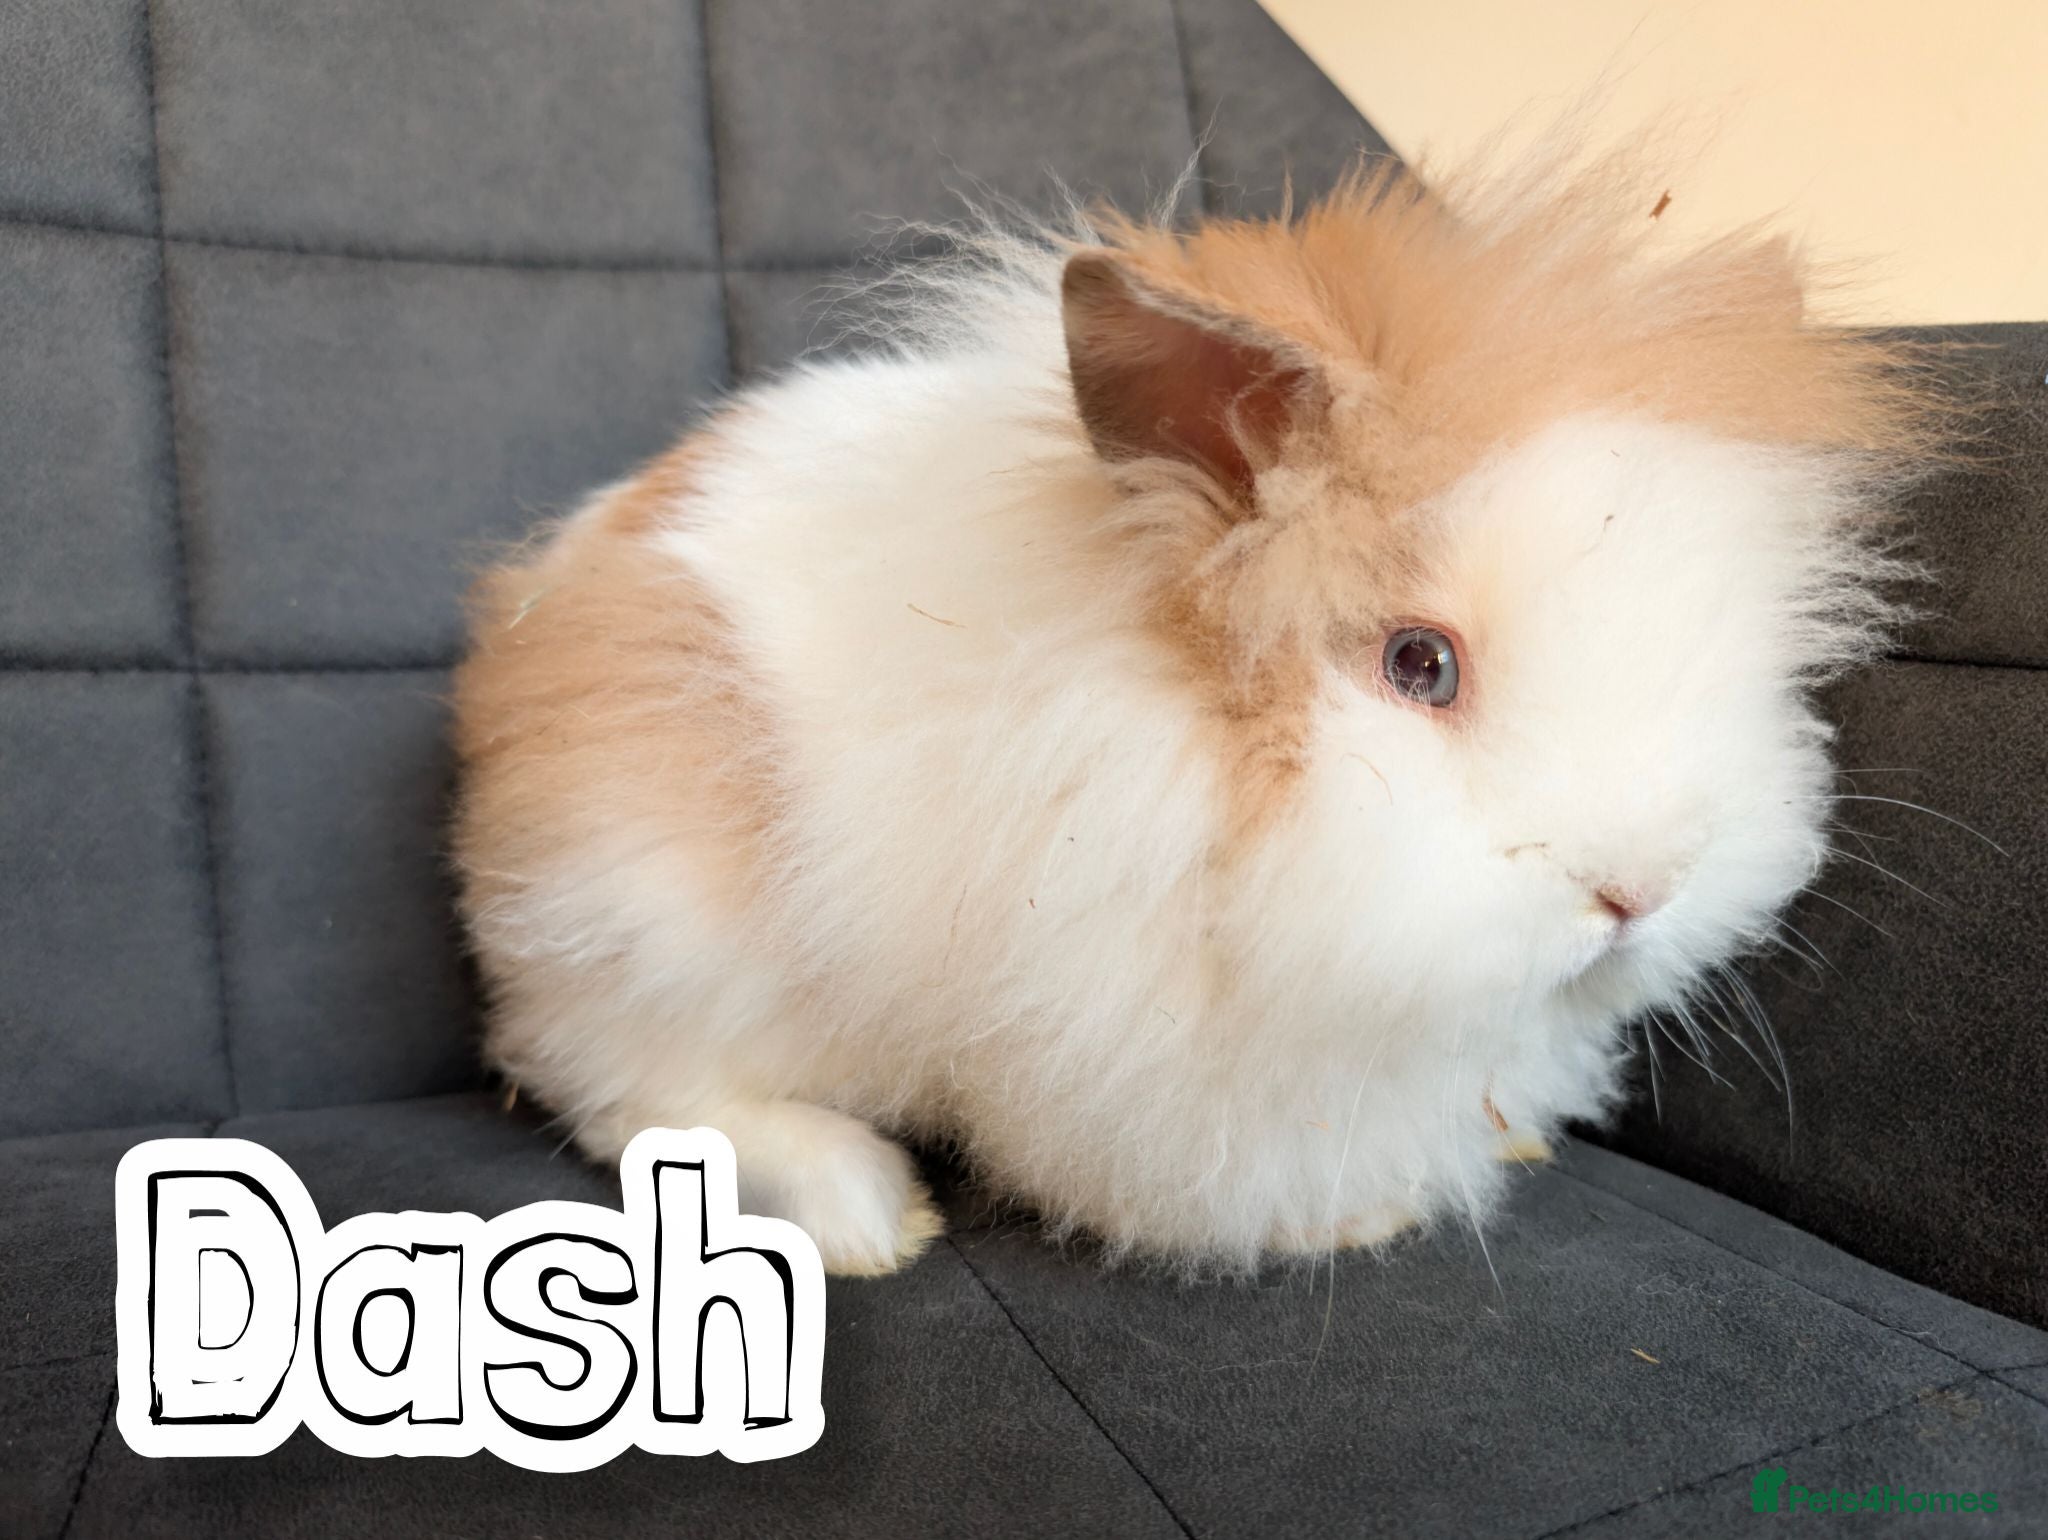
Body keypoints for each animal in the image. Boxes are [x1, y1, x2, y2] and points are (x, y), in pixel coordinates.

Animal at [451, 149, 1938, 1276]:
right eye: (1418, 664)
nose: (1639, 891)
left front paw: (1498, 1136)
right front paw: (1363, 1217)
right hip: (660, 922)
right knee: (627, 1088)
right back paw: (865, 1216)